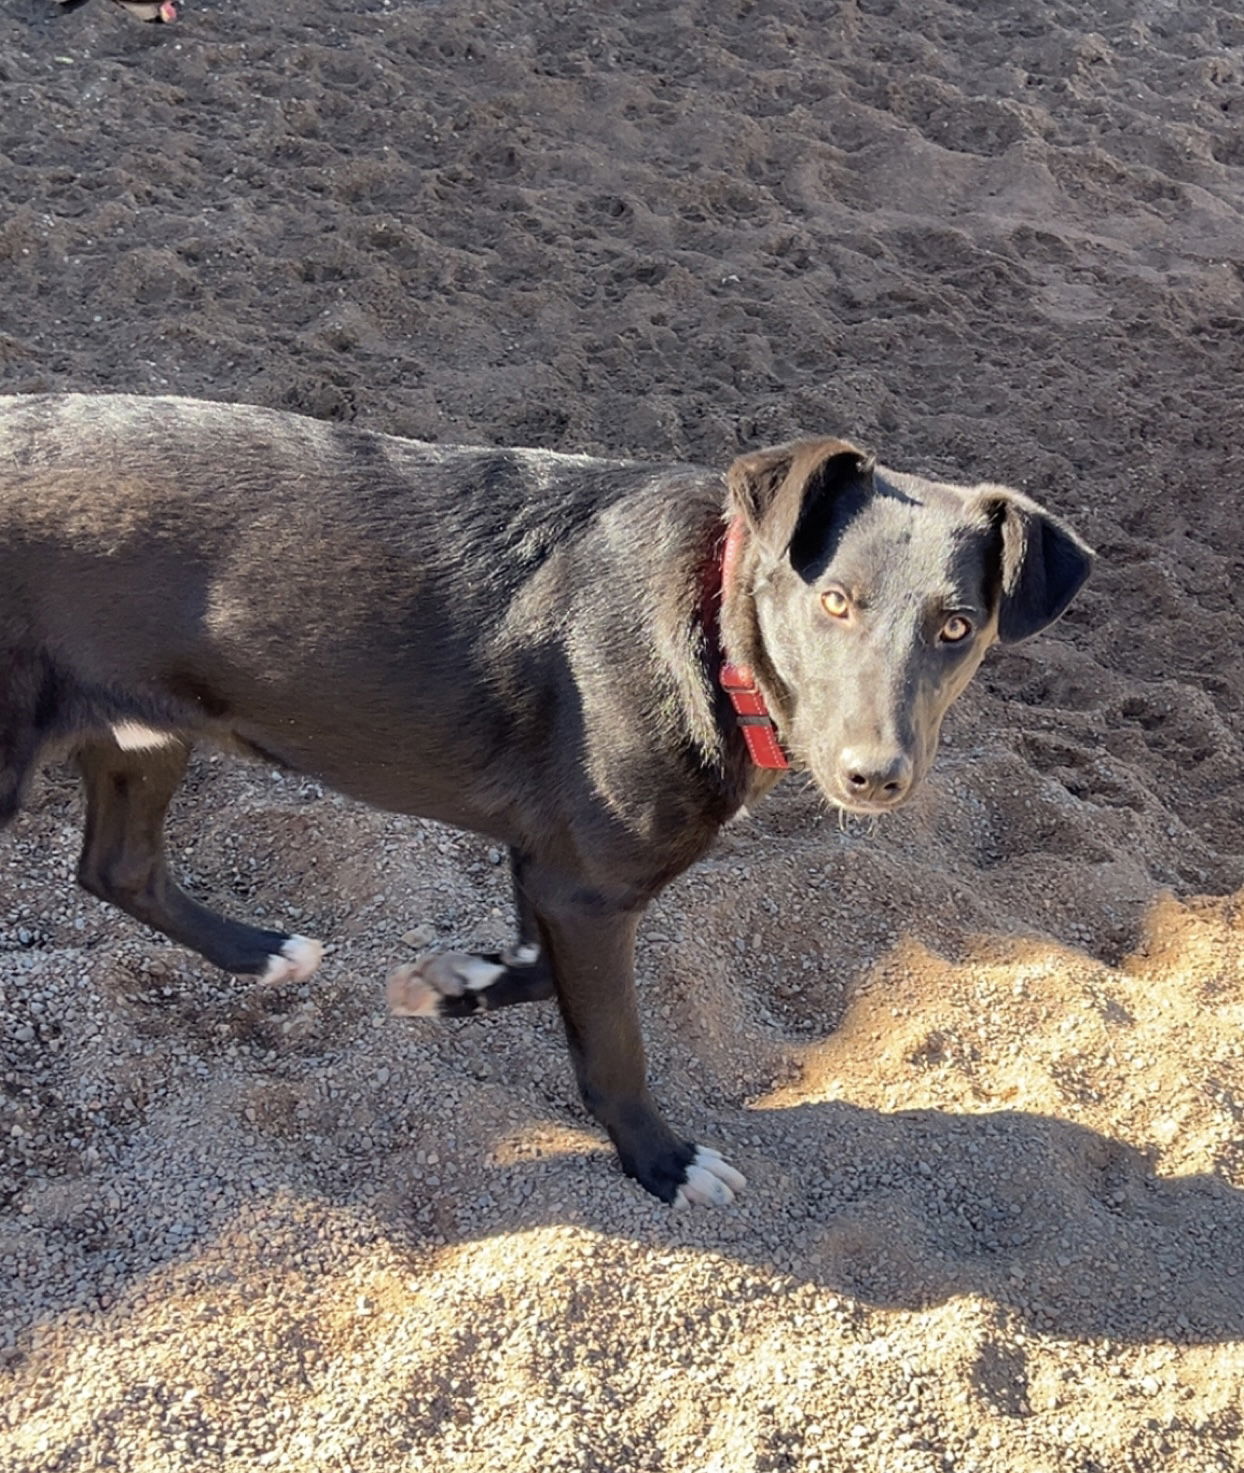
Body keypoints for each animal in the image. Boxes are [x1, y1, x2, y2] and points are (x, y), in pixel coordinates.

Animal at [0, 394, 1089, 1207]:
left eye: (956, 626)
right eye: (834, 602)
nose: (876, 775)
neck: (711, 627)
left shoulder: (551, 866)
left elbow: (531, 971)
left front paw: (450, 985)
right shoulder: (590, 891)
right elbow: (613, 1045)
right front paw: (662, 1163)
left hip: (143, 731)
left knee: (119, 868)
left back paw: (266, 952)